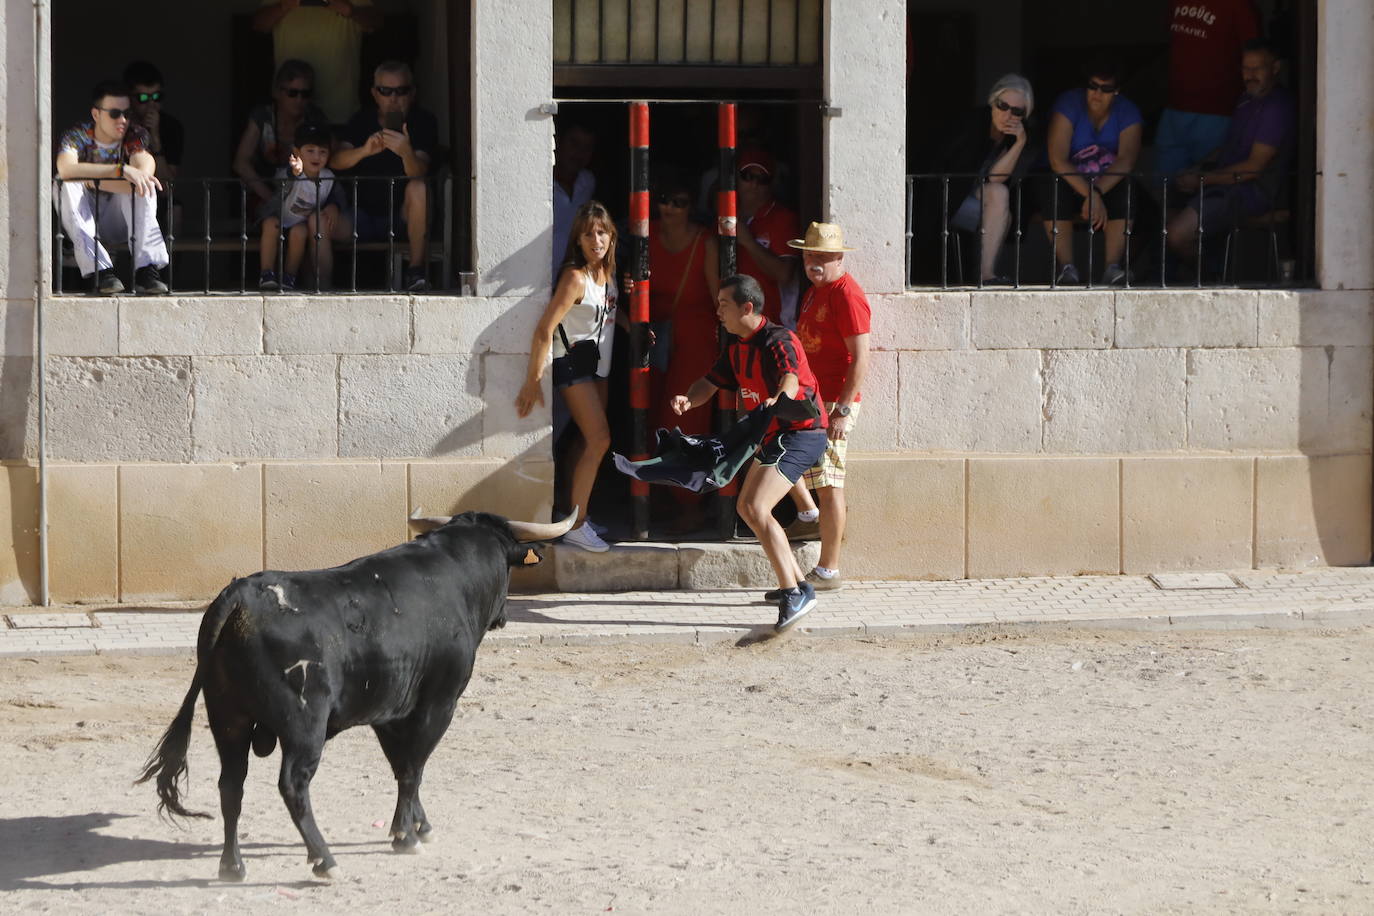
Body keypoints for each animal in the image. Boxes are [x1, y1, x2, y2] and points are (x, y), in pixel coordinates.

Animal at [135, 508, 574, 878]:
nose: (503, 617)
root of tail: (241, 595)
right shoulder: (438, 703)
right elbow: (414, 768)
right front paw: (406, 836)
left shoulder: (388, 714)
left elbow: (401, 766)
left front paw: (417, 825)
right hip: (303, 724)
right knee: (292, 784)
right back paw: (324, 859)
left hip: (228, 718)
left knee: (231, 785)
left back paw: (233, 866)